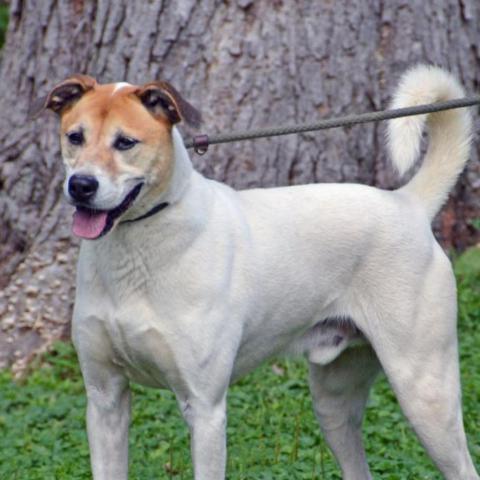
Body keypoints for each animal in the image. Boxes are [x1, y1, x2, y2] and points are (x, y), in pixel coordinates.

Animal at [37, 64, 480, 480]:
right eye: (74, 137)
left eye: (125, 142)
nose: (81, 186)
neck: (137, 248)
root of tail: (408, 203)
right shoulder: (105, 399)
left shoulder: (205, 409)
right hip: (334, 403)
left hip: (425, 391)